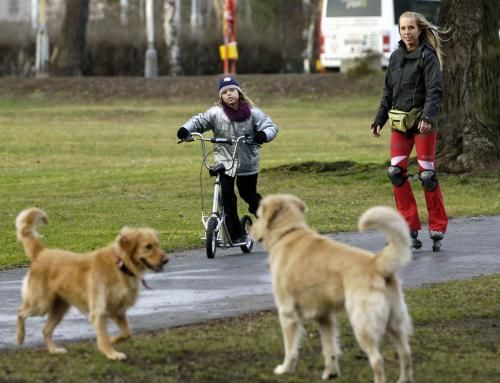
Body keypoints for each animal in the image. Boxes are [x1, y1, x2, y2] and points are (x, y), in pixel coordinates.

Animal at [15, 207, 169, 360]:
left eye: (157, 244)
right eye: (148, 246)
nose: (166, 260)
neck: (120, 265)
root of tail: (42, 252)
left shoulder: (118, 311)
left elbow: (127, 333)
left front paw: (113, 340)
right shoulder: (99, 310)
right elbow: (104, 336)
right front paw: (111, 354)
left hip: (60, 307)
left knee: (45, 329)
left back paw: (54, 350)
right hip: (41, 304)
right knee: (21, 312)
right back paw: (20, 337)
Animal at [252, 196, 412, 382]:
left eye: (258, 215)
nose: (250, 230)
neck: (289, 232)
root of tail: (376, 262)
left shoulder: (287, 313)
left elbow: (290, 348)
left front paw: (285, 369)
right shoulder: (324, 316)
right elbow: (329, 349)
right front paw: (331, 373)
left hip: (363, 325)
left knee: (378, 361)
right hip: (394, 323)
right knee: (405, 354)